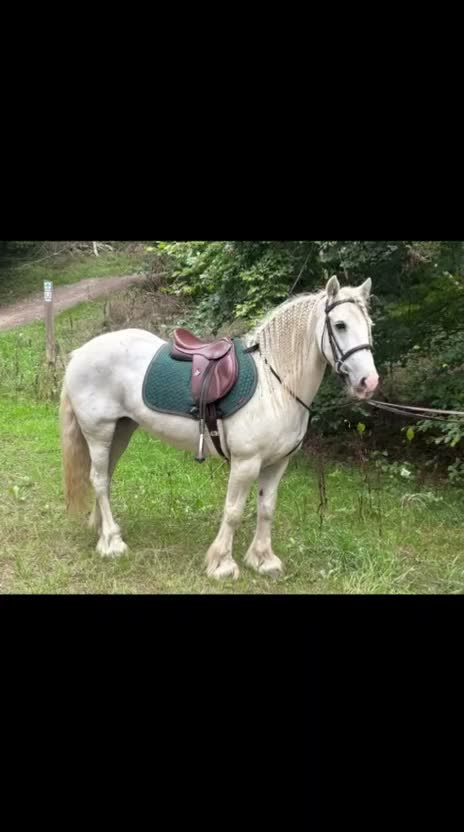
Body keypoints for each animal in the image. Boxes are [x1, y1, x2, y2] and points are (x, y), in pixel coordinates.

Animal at [59, 275, 379, 579]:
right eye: (340, 325)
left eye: (369, 326)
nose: (369, 382)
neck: (273, 385)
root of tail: (80, 353)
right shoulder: (245, 463)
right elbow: (234, 511)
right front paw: (222, 564)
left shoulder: (277, 463)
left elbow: (266, 508)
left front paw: (263, 560)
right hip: (99, 433)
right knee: (99, 480)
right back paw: (112, 543)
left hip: (121, 430)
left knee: (105, 477)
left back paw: (103, 531)